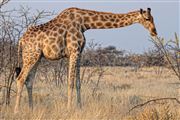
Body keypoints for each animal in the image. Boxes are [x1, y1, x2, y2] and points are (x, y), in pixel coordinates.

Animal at [14, 7, 158, 113]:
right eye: (147, 18)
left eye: (153, 18)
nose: (154, 32)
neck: (85, 23)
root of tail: (21, 40)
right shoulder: (73, 51)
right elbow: (70, 82)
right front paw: (69, 109)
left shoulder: (79, 53)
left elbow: (78, 83)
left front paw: (79, 107)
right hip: (30, 56)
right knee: (20, 78)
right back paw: (17, 111)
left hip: (37, 57)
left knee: (29, 80)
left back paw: (31, 109)